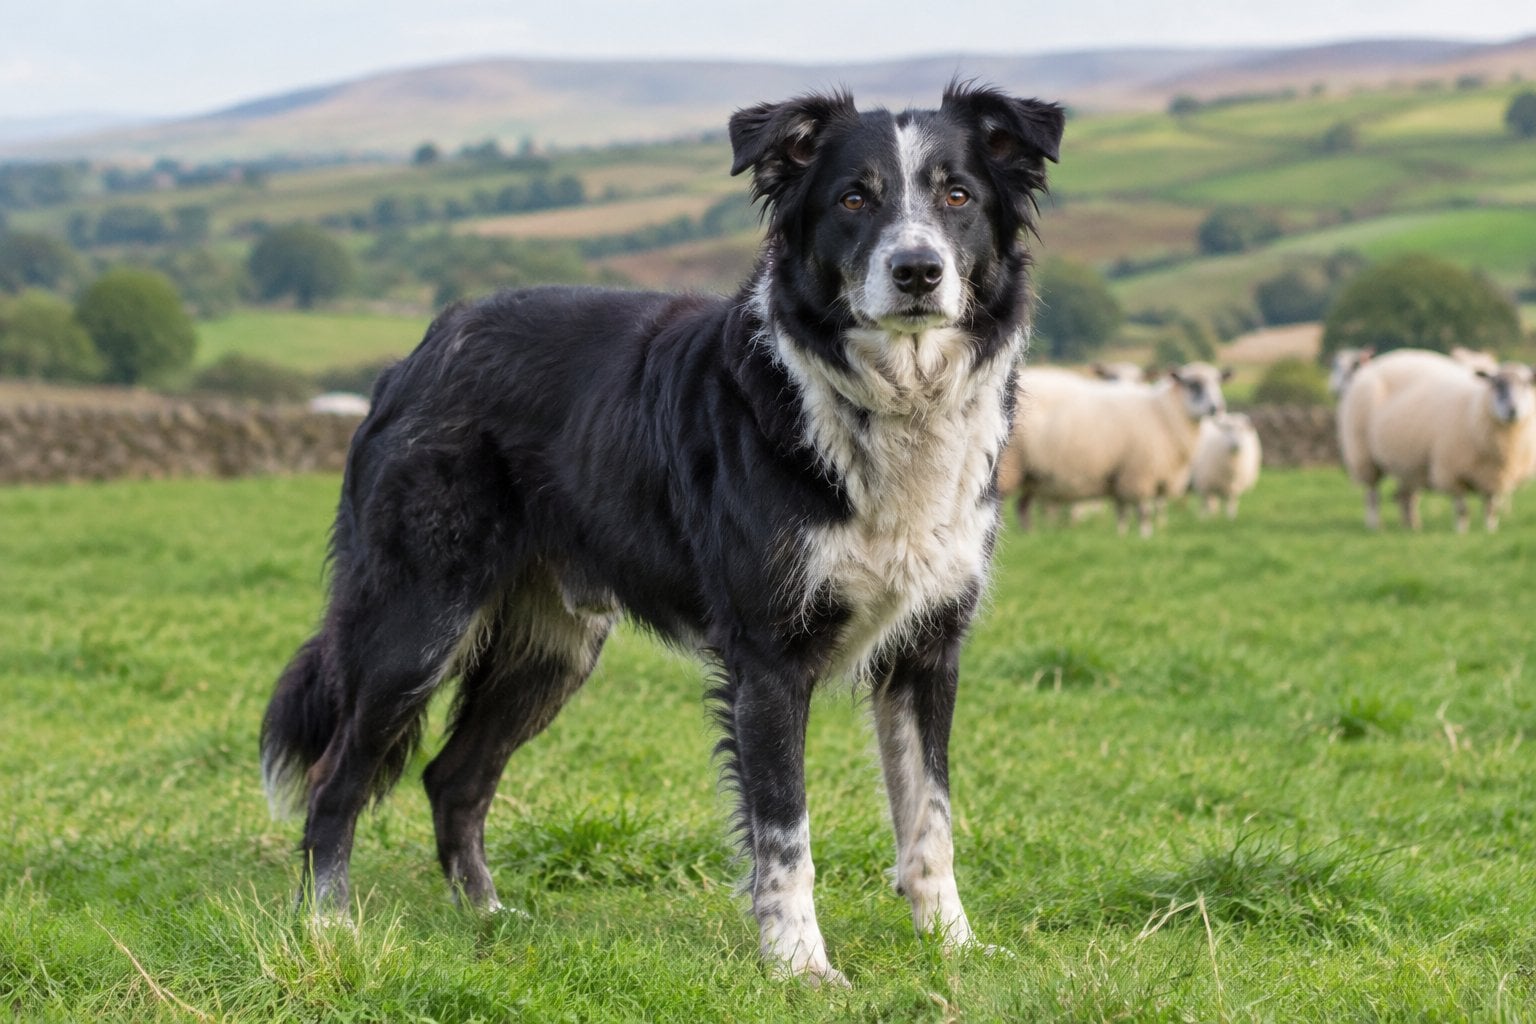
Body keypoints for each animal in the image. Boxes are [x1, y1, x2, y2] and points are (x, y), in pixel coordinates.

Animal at [1003, 362, 1230, 537]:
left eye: (1218, 382)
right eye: (1194, 384)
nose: (1217, 407)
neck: (1163, 413)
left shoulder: (1124, 474)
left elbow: (1123, 511)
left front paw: (1122, 536)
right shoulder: (1139, 473)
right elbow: (1143, 512)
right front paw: (1145, 537)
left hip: (1031, 475)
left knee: (1022, 508)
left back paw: (1030, 535)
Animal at [1358, 362, 1536, 532]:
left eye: (1526, 384)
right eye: (1496, 384)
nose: (1512, 410)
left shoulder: (1495, 477)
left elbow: (1491, 509)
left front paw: (1490, 531)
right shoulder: (1452, 473)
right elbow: (1462, 509)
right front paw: (1461, 533)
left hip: (1408, 466)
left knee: (1406, 497)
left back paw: (1412, 526)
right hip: (1364, 457)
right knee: (1373, 495)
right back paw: (1375, 526)